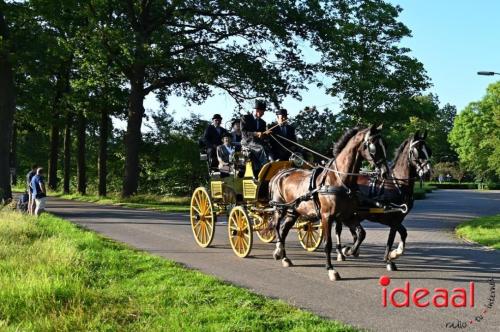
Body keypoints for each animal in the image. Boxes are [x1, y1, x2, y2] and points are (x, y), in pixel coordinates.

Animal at [270, 124, 390, 280]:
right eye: (373, 145)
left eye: (384, 144)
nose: (385, 172)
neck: (339, 180)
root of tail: (280, 174)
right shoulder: (327, 217)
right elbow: (328, 243)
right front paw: (331, 269)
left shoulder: (347, 216)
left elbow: (361, 233)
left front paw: (348, 251)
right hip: (280, 208)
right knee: (277, 227)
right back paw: (279, 251)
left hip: (293, 211)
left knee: (284, 230)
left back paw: (285, 257)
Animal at [342, 129, 432, 270]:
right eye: (417, 150)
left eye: (429, 150)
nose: (428, 173)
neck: (397, 184)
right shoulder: (392, 219)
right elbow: (391, 238)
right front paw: (389, 260)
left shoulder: (397, 219)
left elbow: (403, 233)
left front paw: (394, 254)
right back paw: (343, 251)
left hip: (357, 214)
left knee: (353, 229)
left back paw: (353, 250)